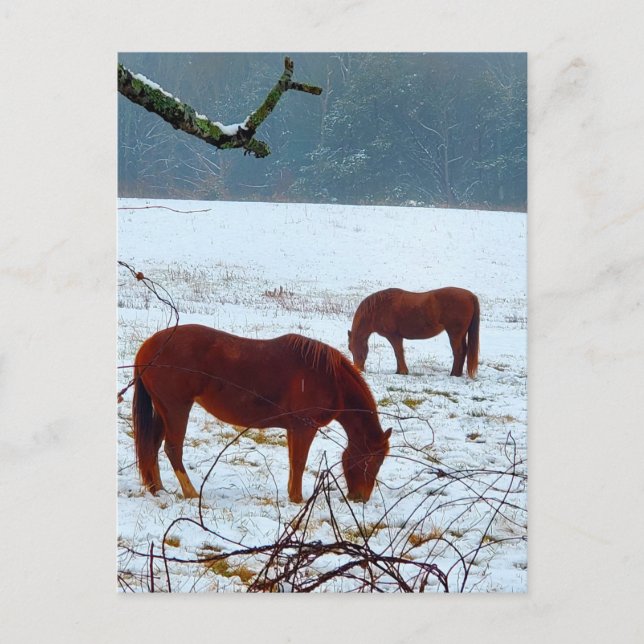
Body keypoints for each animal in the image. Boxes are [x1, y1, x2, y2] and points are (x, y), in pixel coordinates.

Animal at [132, 324, 391, 503]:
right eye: (373, 460)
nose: (361, 497)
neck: (330, 378)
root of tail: (148, 347)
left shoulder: (294, 429)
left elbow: (293, 462)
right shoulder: (304, 427)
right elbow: (299, 462)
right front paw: (297, 499)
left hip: (163, 411)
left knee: (151, 446)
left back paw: (158, 489)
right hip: (176, 409)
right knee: (172, 449)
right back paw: (191, 493)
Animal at [348, 287, 480, 378]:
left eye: (351, 348)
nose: (358, 369)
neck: (378, 308)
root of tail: (470, 296)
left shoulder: (394, 336)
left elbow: (398, 352)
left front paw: (402, 371)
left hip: (454, 334)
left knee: (459, 351)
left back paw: (454, 374)